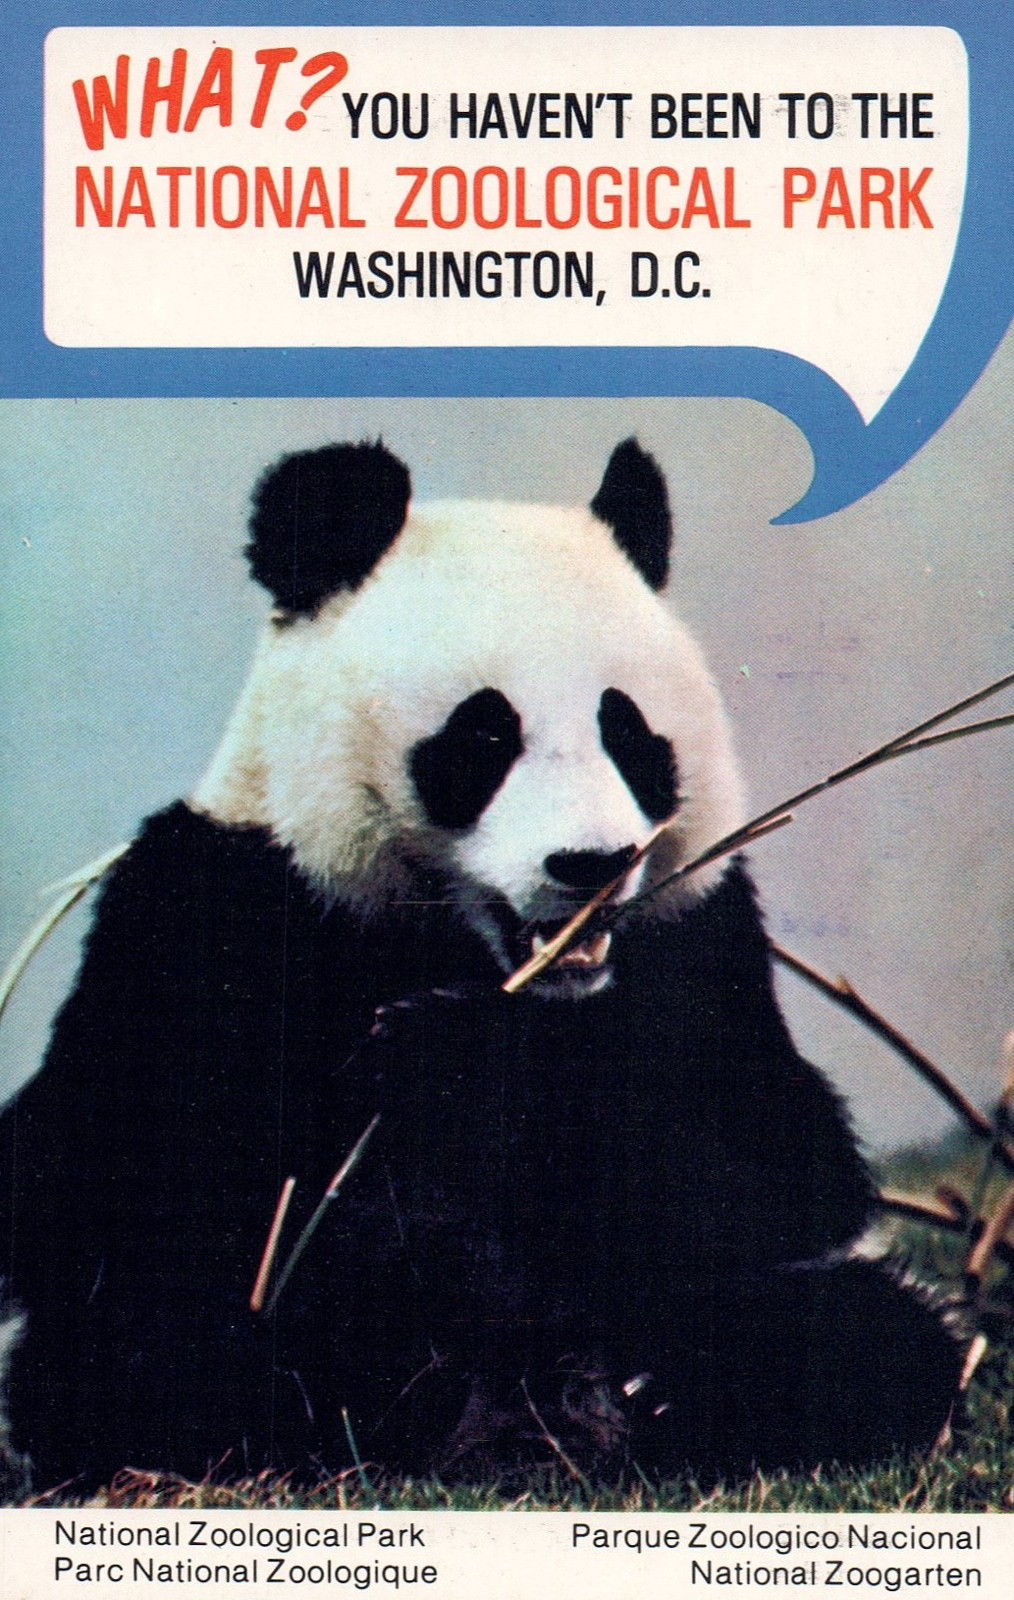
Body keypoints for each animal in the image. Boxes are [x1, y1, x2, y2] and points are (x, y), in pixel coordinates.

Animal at [0, 438, 961, 1491]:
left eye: (628, 732)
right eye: (486, 735)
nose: (590, 864)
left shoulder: (699, 931)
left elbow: (774, 1159)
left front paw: (457, 1060)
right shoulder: (214, 903)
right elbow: (108, 1181)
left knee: (862, 1341)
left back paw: (640, 1398)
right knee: (139, 1359)